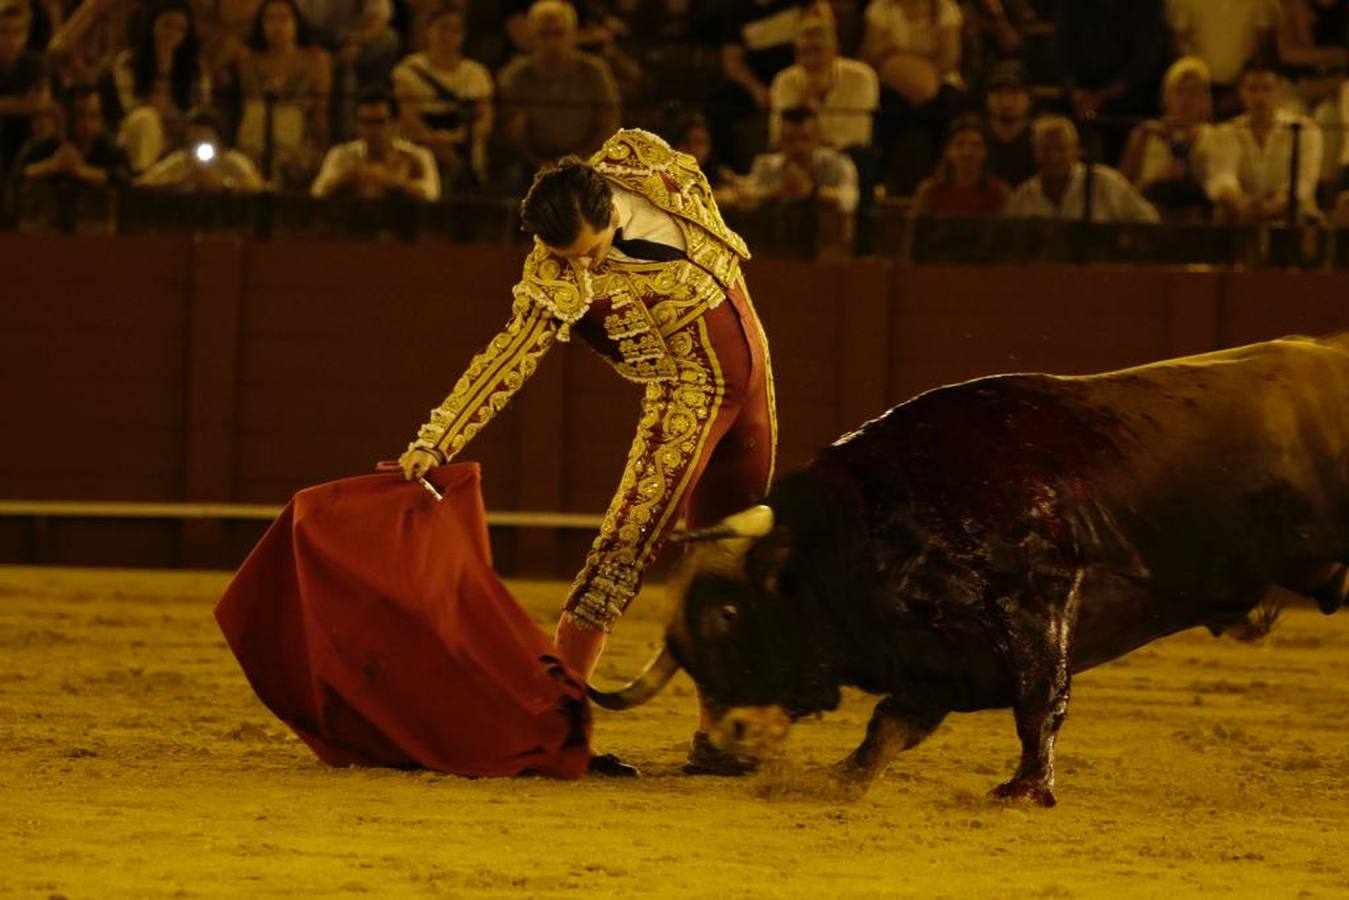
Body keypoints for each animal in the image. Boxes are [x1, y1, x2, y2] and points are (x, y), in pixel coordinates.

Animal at [588, 334, 1349, 804]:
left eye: (729, 611)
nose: (728, 740)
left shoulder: (1039, 593)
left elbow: (1039, 700)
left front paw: (1024, 791)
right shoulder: (933, 660)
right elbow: (890, 725)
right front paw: (840, 778)